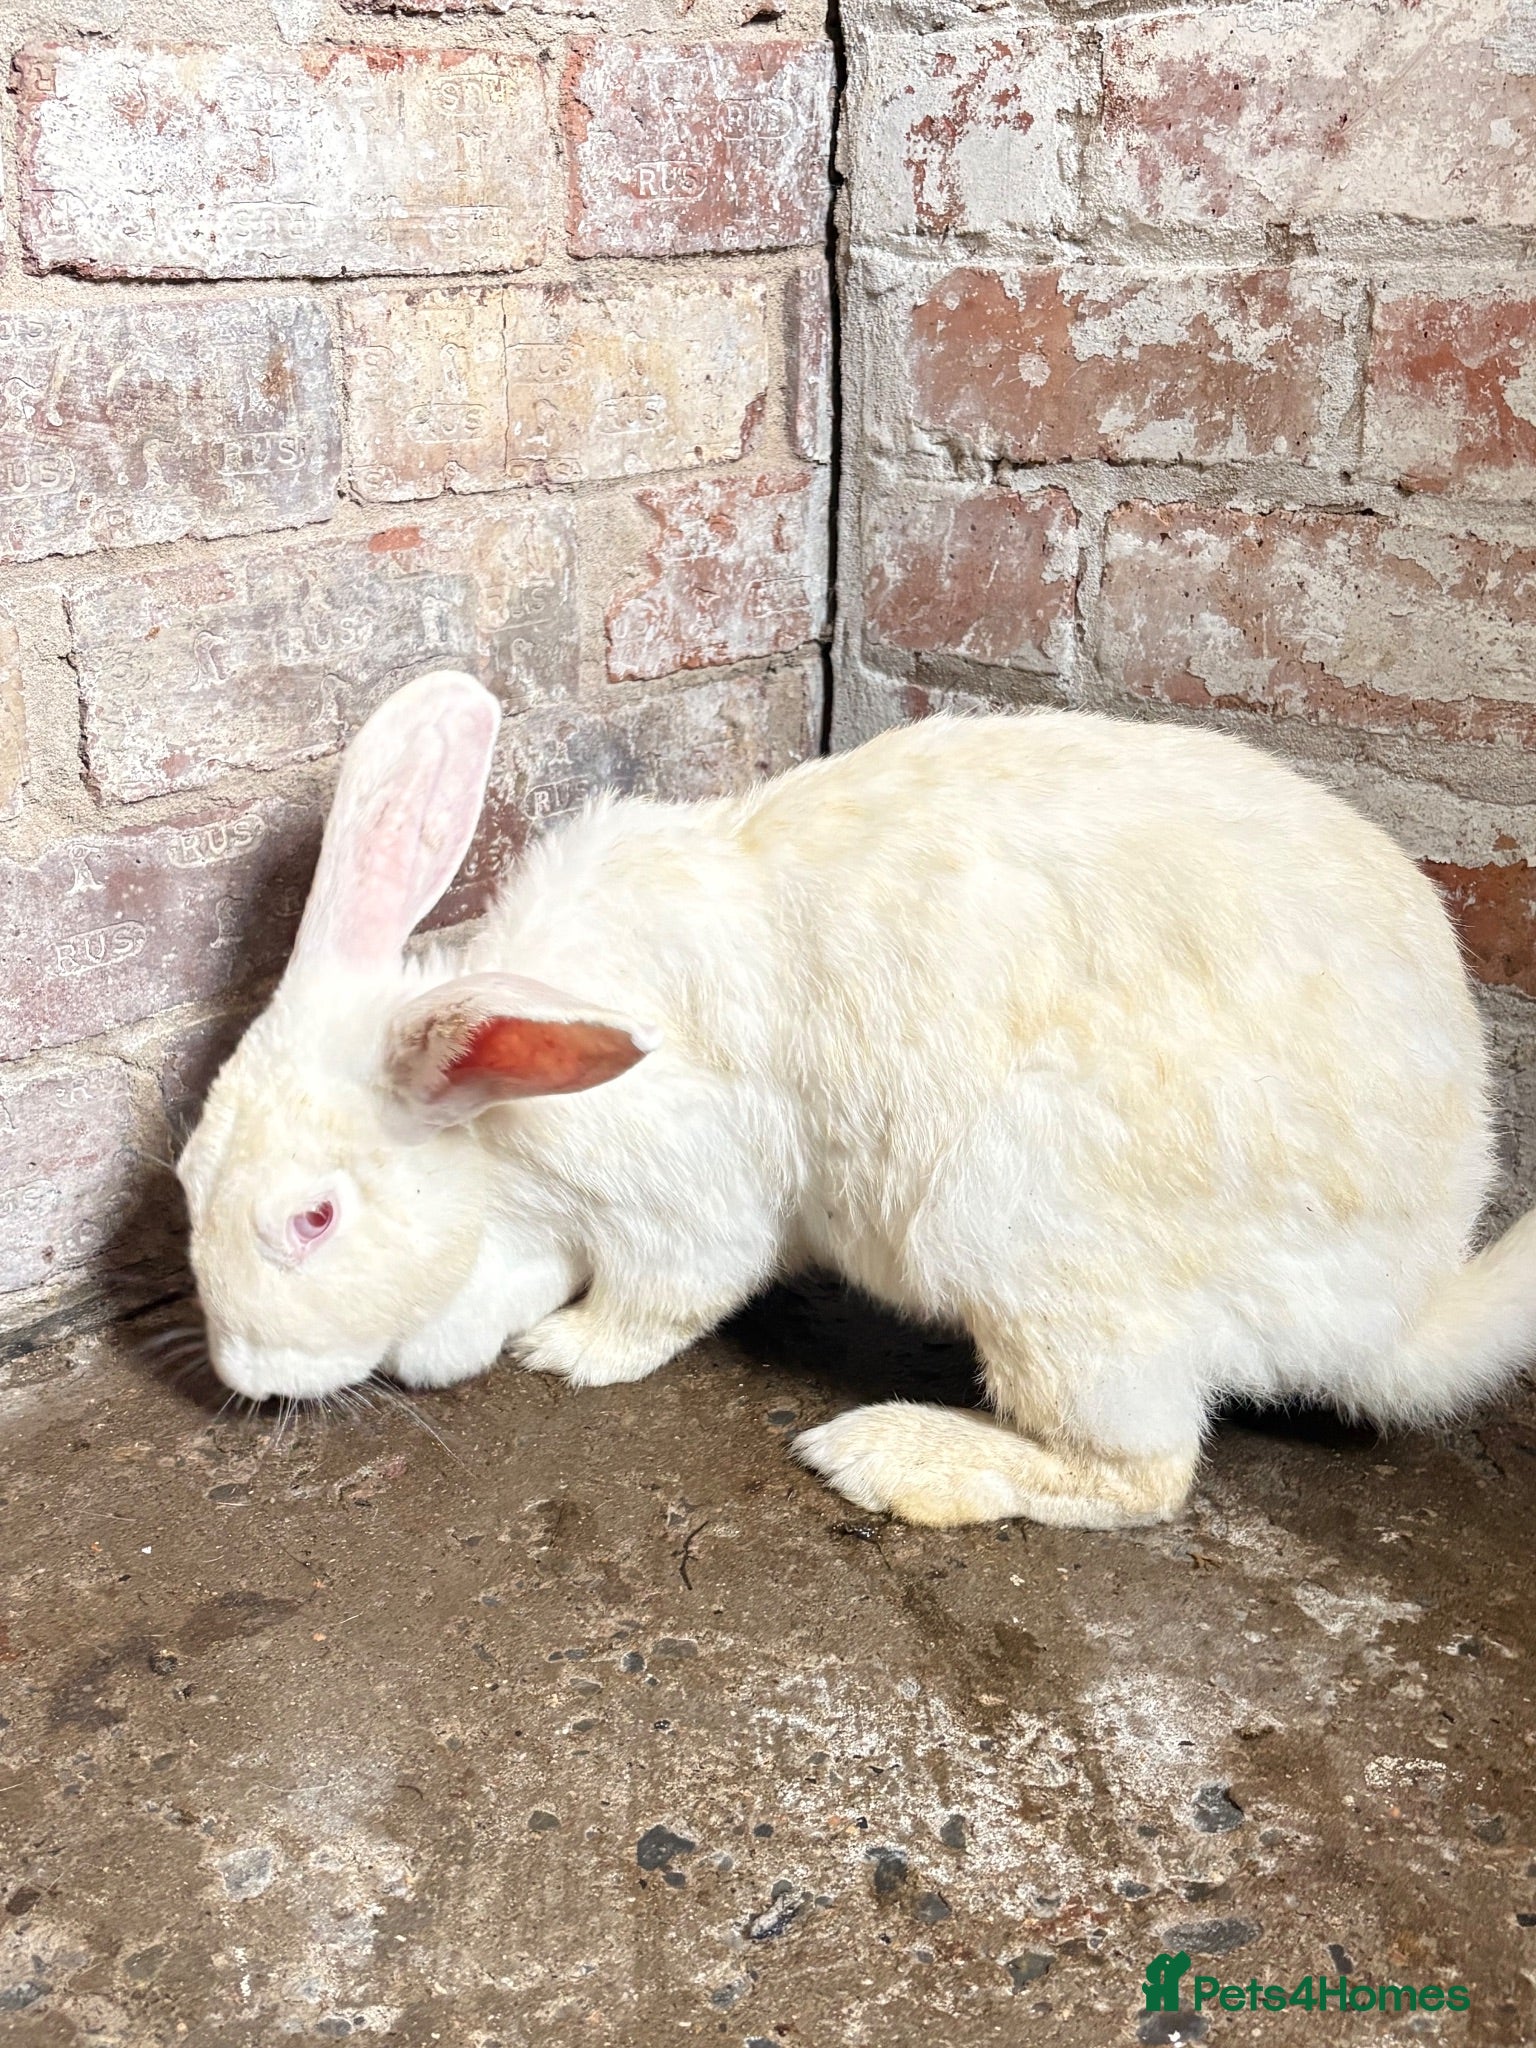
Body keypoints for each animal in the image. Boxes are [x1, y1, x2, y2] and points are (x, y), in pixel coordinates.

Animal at [177, 668, 1536, 1528]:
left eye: (312, 1219)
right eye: (185, 1175)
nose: (242, 1375)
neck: (498, 1127)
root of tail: (1398, 1306)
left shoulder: (685, 1200)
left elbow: (666, 1297)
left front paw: (564, 1352)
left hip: (1038, 1245)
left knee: (1140, 1474)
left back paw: (886, 1455)